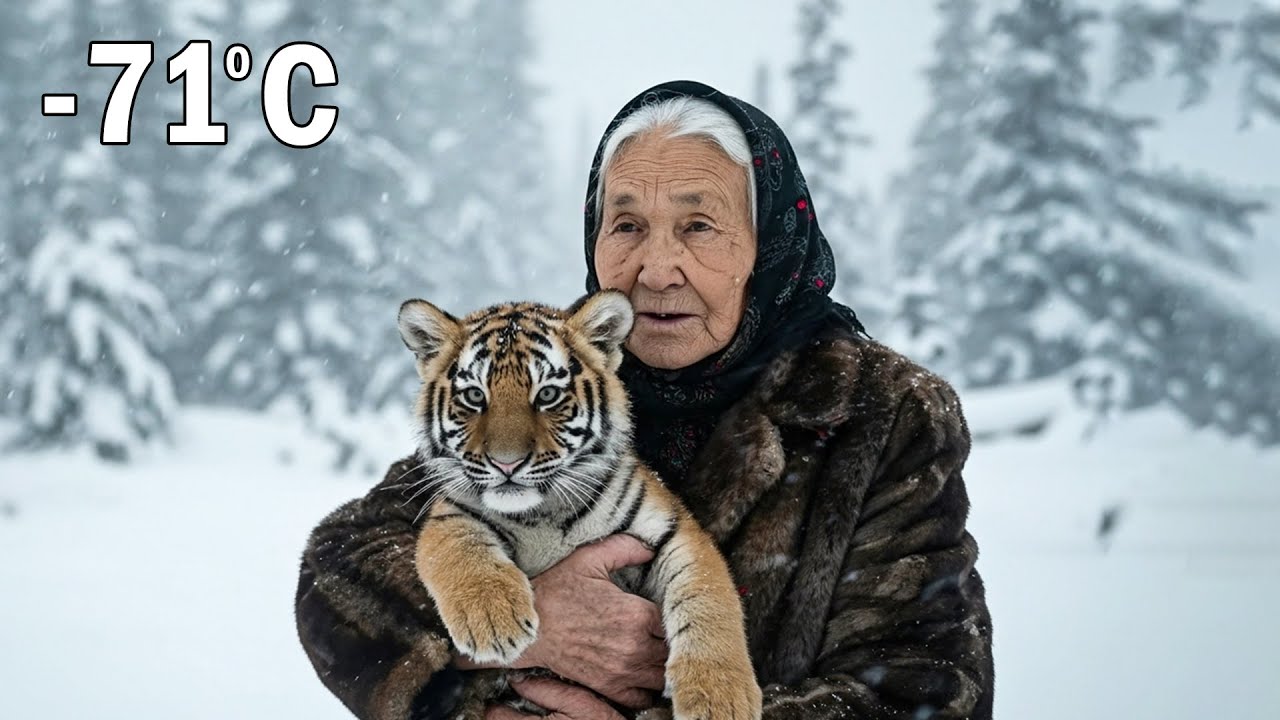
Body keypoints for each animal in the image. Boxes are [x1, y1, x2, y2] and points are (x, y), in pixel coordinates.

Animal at [396, 289, 762, 720]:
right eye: (474, 396)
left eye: (547, 395)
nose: (506, 464)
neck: (540, 514)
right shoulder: (453, 510)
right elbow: (457, 545)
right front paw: (492, 620)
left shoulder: (673, 530)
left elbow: (708, 597)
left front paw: (721, 698)